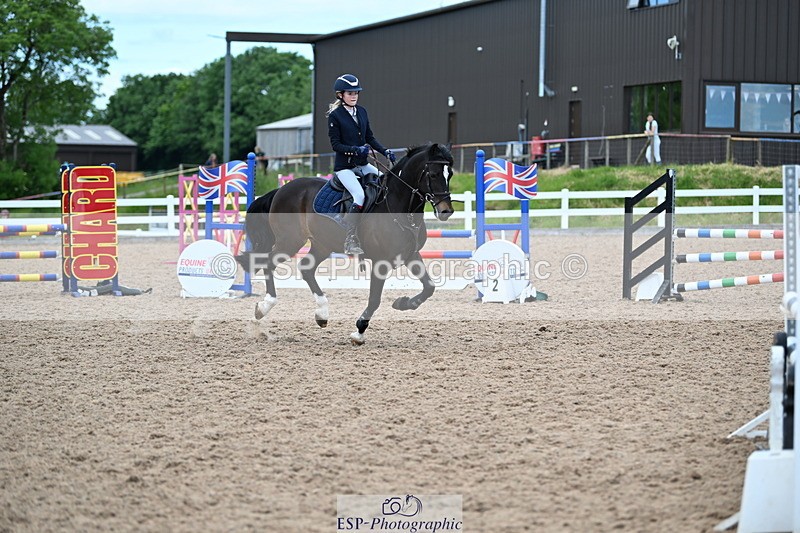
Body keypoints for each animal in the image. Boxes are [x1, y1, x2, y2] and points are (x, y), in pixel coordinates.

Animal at [236, 142, 455, 345]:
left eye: (450, 174)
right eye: (434, 174)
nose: (446, 211)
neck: (397, 206)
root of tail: (282, 189)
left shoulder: (410, 255)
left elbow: (429, 287)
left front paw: (403, 303)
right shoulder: (381, 262)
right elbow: (374, 299)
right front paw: (359, 332)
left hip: (322, 244)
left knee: (306, 269)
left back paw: (322, 314)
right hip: (289, 241)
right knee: (269, 264)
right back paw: (264, 307)